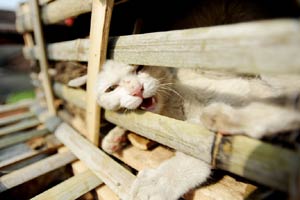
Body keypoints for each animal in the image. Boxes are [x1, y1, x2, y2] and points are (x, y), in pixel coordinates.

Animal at [94, 59, 300, 200]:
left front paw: (156, 184)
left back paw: (224, 118)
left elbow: (195, 146)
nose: (137, 89)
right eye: (111, 88)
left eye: (139, 68)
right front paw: (114, 137)